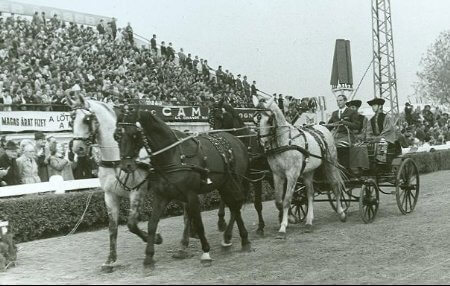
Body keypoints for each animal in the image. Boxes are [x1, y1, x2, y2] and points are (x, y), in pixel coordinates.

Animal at [69, 95, 163, 272]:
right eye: (72, 119)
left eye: (87, 119)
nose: (78, 148)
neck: (116, 160)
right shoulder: (110, 195)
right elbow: (112, 228)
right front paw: (110, 260)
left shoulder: (137, 191)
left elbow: (132, 224)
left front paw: (155, 239)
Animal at [251, 95, 346, 238]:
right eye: (255, 119)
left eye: (269, 119)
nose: (263, 142)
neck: (284, 142)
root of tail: (322, 127)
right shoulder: (277, 174)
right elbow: (278, 200)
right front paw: (290, 218)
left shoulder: (292, 174)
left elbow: (287, 199)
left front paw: (283, 227)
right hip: (308, 171)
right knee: (310, 193)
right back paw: (309, 221)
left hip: (330, 163)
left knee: (335, 186)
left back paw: (341, 212)